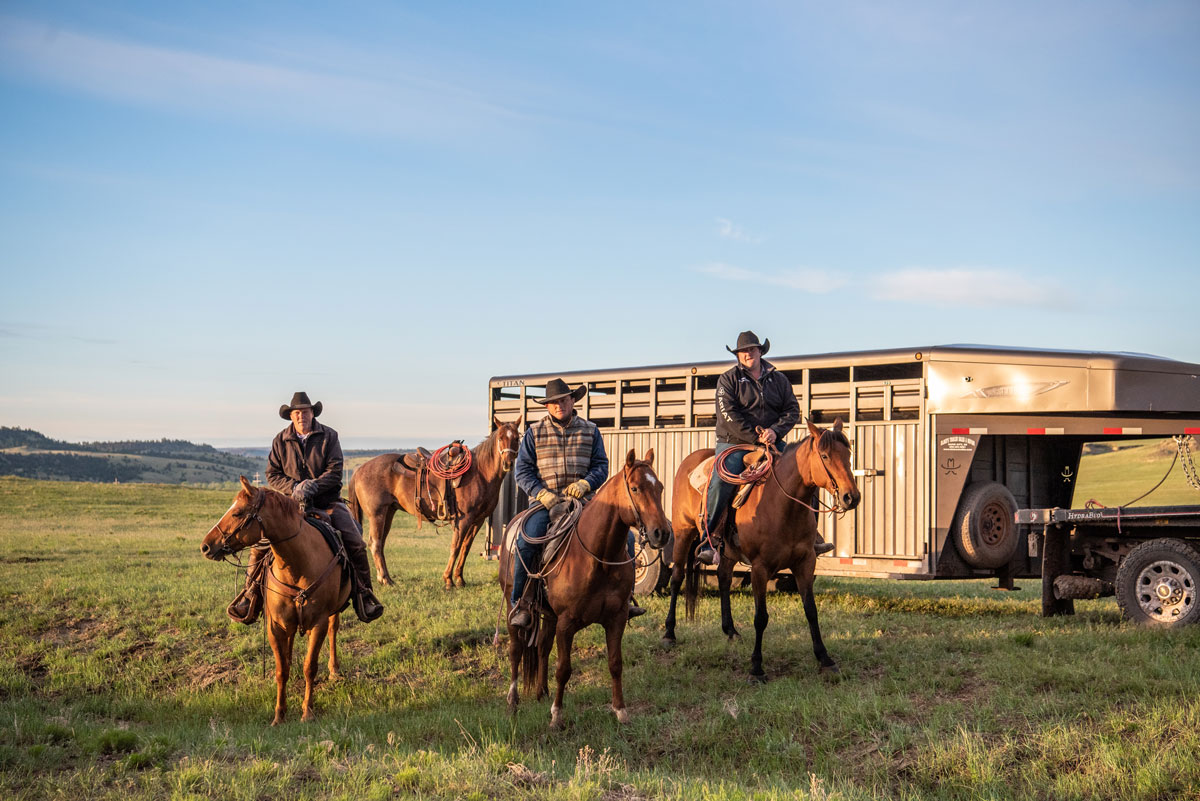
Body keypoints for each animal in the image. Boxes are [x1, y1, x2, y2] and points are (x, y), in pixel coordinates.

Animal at [200, 474, 350, 724]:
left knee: (333, 629)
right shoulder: (275, 626)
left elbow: (310, 667)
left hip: (332, 613)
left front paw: (307, 711)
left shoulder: (318, 623)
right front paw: (279, 715)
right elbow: (282, 670)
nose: (205, 546)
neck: (298, 565)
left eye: (238, 512)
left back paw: (335, 670)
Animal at [345, 419, 518, 587]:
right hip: (377, 514)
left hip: (388, 513)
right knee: (375, 543)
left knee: (380, 543)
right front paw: (448, 580)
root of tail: (360, 469)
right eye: (500, 438)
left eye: (517, 438)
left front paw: (459, 579)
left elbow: (465, 548)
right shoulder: (464, 520)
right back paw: (385, 579)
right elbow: (455, 547)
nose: (508, 463)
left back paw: (385, 578)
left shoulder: (478, 520)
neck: (480, 473)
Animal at [499, 450, 676, 733]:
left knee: (541, 647)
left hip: (549, 615)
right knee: (516, 650)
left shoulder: (616, 619)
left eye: (659, 487)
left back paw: (541, 693)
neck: (597, 557)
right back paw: (513, 702)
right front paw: (557, 717)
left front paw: (621, 711)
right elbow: (563, 669)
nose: (662, 533)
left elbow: (615, 664)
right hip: (511, 604)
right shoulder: (567, 622)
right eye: (635, 488)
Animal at [662, 419, 859, 681]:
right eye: (825, 456)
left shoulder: (805, 563)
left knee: (724, 578)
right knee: (677, 578)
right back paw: (669, 633)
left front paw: (825, 659)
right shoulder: (760, 567)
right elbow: (761, 617)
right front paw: (756, 668)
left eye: (847, 454)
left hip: (727, 552)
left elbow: (811, 610)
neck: (782, 506)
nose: (851, 497)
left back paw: (731, 630)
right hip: (683, 534)